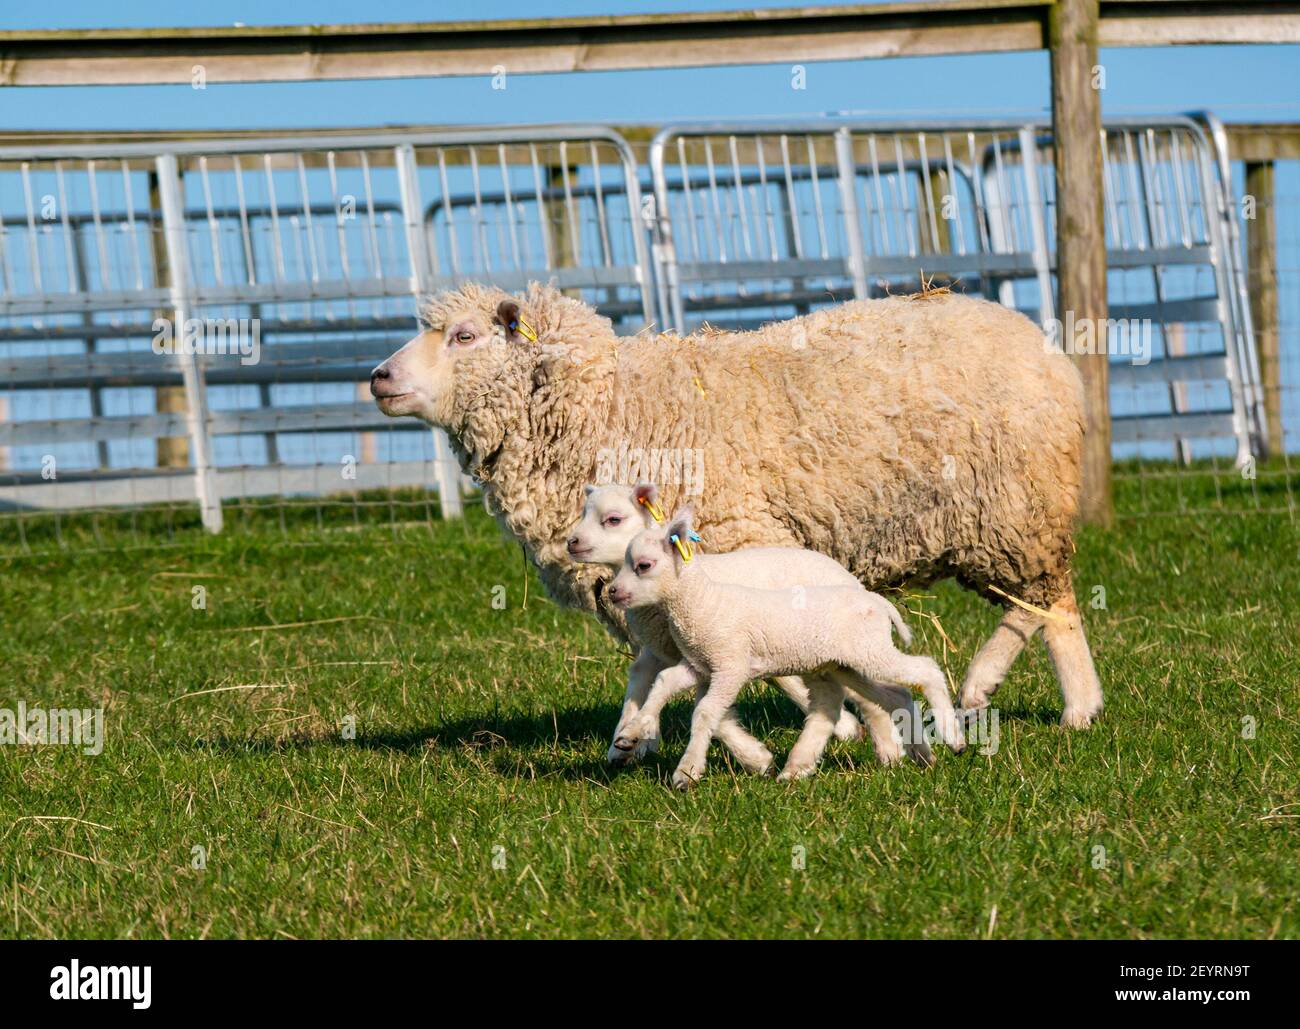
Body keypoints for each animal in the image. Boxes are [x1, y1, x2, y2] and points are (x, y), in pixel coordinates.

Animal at [371, 283, 1102, 732]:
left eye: (465, 336)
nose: (378, 376)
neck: (607, 403)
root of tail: (1048, 351)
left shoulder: (734, 546)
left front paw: (835, 714)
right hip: (998, 517)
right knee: (1036, 602)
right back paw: (1030, 695)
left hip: (1015, 505)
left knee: (1050, 603)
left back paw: (1051, 700)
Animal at [569, 485, 935, 774]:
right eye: (583, 512)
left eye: (613, 519)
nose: (571, 542)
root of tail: (848, 577)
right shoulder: (665, 653)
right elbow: (643, 687)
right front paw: (626, 740)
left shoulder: (720, 655)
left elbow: (713, 713)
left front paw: (754, 758)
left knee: (870, 695)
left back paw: (889, 749)